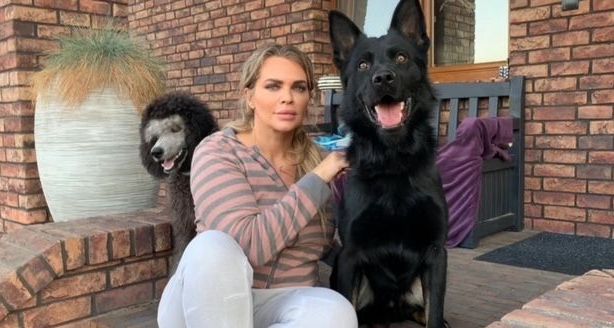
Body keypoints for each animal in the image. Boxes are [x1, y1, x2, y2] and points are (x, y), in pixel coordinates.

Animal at [330, 1, 450, 326]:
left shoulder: (436, 253)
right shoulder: (350, 255)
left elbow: (435, 313)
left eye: (401, 58)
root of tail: (392, 309)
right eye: (362, 66)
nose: (383, 78)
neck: (392, 161)